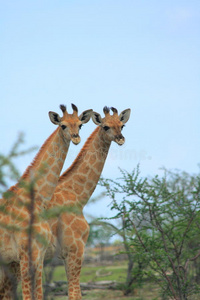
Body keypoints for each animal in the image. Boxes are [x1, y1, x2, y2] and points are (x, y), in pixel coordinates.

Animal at [0, 103, 92, 300]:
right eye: (63, 125)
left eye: (80, 125)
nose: (76, 138)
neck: (37, 199)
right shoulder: (26, 255)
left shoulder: (38, 254)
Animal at [46, 106, 130, 300]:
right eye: (106, 126)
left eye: (122, 125)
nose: (121, 139)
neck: (77, 195)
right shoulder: (74, 250)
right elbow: (75, 294)